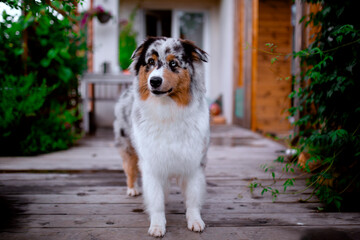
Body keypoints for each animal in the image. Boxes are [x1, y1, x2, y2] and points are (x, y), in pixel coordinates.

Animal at [114, 36, 210, 237]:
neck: (168, 110)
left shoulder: (194, 161)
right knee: (130, 168)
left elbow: (192, 197)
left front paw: (195, 221)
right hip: (128, 146)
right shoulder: (152, 163)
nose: (154, 81)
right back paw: (132, 189)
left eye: (173, 63)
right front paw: (157, 225)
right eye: (150, 62)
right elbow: (156, 199)